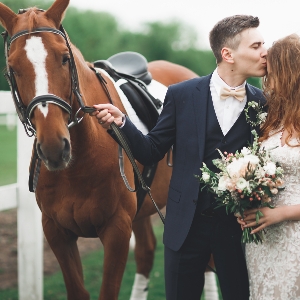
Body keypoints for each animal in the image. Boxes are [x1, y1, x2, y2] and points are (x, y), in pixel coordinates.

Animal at [0, 0, 202, 300]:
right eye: (13, 67)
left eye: (65, 58)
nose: (54, 147)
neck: (80, 164)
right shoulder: (56, 231)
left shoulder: (117, 231)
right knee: (146, 251)